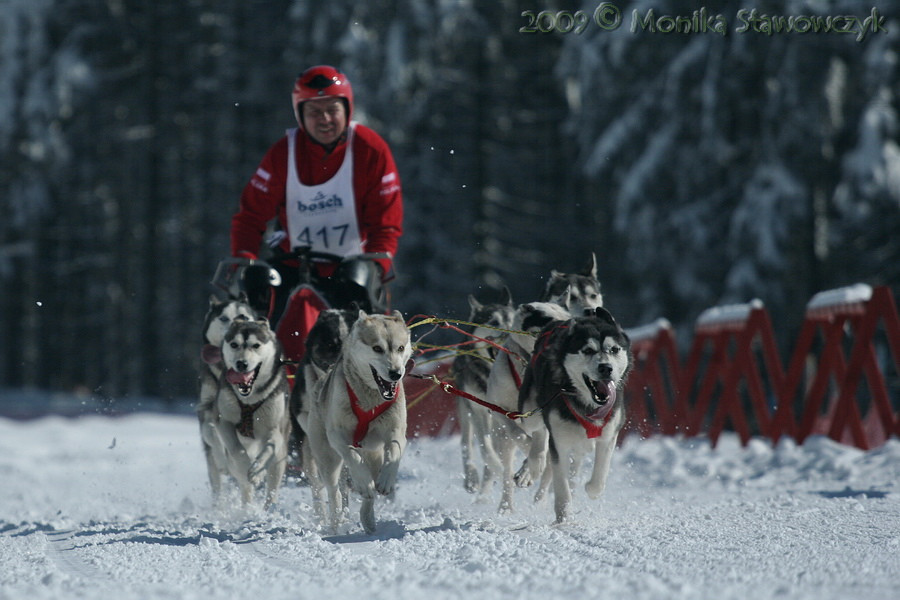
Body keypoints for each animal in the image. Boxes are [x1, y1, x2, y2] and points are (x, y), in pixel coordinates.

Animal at [195, 294, 255, 496]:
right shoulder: (205, 409)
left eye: (245, 315)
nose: (240, 320)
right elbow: (210, 431)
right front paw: (222, 458)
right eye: (223, 318)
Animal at [214, 316, 292, 508]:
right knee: (243, 483)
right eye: (234, 344)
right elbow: (237, 450)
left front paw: (257, 472)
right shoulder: (223, 421)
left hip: (280, 459)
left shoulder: (275, 429)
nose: (241, 363)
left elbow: (268, 449)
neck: (249, 399)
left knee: (272, 487)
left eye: (256, 345)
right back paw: (247, 508)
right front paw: (246, 468)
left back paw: (268, 509)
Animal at [304, 312, 414, 532]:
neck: (370, 399)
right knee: (335, 491)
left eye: (400, 348)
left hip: (373, 456)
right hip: (327, 459)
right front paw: (362, 481)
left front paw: (386, 480)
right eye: (377, 348)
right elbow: (352, 456)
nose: (396, 373)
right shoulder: (338, 435)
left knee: (368, 494)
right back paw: (337, 521)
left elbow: (394, 450)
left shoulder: (396, 431)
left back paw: (368, 518)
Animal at [448, 290, 512, 492]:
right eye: (494, 321)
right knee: (466, 442)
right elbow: (484, 446)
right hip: (465, 408)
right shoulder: (477, 409)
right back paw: (472, 477)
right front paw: (497, 466)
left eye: (513, 321)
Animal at [516, 308, 636, 524]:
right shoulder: (559, 443)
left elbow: (599, 477)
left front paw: (590, 488)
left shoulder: (609, 434)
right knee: (539, 434)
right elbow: (562, 487)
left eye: (614, 349)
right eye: (587, 350)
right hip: (530, 413)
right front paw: (563, 519)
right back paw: (533, 466)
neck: (588, 405)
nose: (606, 368)